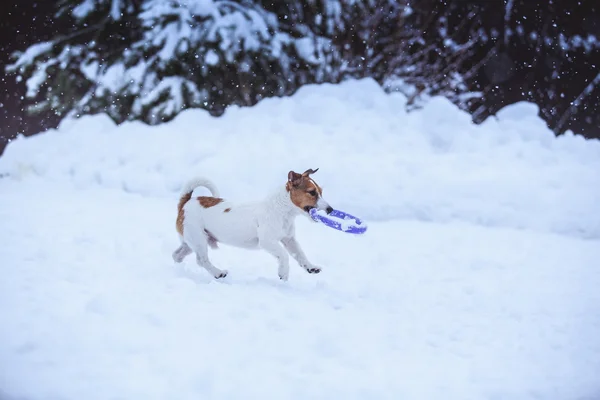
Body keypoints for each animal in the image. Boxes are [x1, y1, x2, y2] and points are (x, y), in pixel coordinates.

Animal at [172, 169, 332, 282]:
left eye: (321, 192)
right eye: (312, 192)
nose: (330, 209)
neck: (281, 210)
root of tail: (185, 202)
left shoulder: (289, 240)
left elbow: (300, 254)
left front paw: (311, 267)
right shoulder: (267, 241)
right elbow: (284, 255)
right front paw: (283, 272)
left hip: (191, 242)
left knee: (177, 255)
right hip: (198, 239)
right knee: (201, 260)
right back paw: (218, 273)